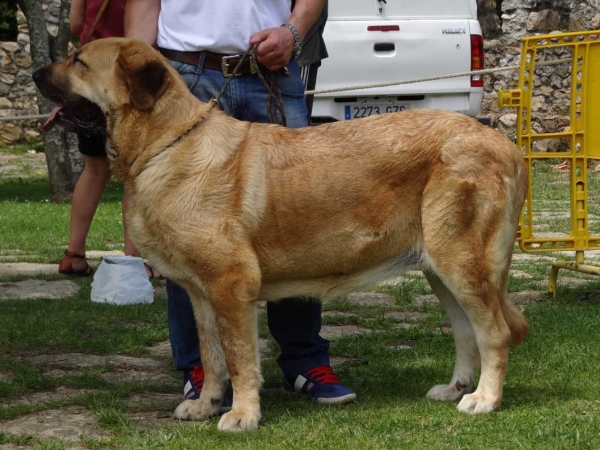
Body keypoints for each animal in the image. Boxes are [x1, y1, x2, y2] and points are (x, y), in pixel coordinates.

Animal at [34, 38, 528, 432]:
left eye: (78, 61)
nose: (37, 72)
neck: (166, 143)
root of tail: (506, 146)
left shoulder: (232, 287)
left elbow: (239, 358)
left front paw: (242, 415)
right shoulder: (200, 294)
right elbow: (212, 356)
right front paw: (206, 405)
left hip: (461, 262)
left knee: (495, 333)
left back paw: (484, 399)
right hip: (440, 269)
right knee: (466, 332)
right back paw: (455, 388)